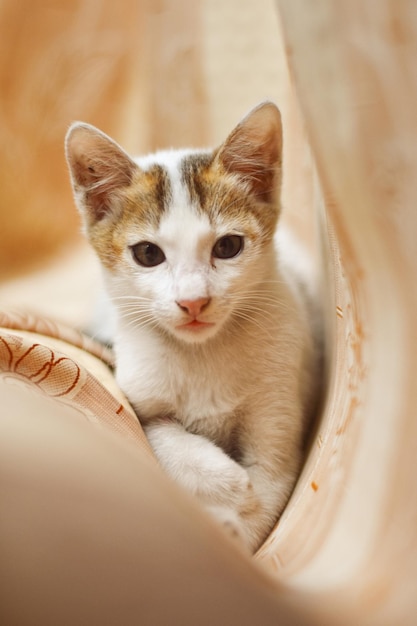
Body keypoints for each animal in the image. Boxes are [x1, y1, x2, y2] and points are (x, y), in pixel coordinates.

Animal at [65, 102, 320, 552]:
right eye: (148, 254)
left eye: (228, 246)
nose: (193, 301)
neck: (203, 353)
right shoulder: (138, 393)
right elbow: (159, 433)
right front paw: (227, 485)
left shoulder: (280, 406)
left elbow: (268, 491)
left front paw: (237, 524)